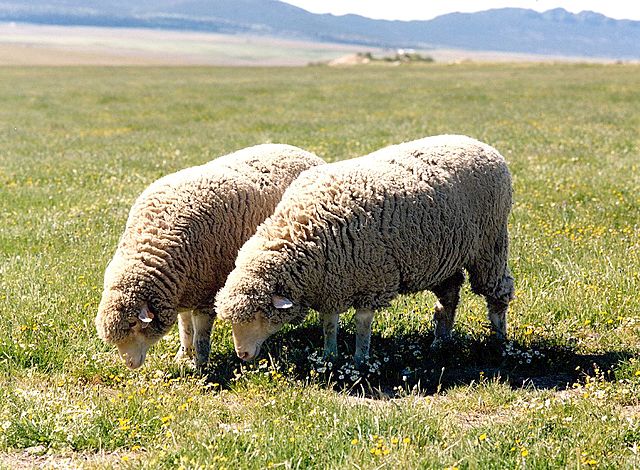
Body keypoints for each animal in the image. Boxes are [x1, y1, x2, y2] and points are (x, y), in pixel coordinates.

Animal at [95, 144, 325, 370]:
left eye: (135, 324)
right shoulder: (185, 292)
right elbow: (185, 327)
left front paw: (200, 365)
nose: (130, 365)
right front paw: (183, 355)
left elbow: (201, 335)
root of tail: (302, 151)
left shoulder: (207, 293)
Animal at [215, 135, 515, 366]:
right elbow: (329, 324)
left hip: (490, 244)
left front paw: (360, 358)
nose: (242, 355)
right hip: (444, 256)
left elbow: (362, 324)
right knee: (450, 297)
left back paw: (499, 342)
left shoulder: (371, 279)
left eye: (259, 316)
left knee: (497, 294)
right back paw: (439, 342)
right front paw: (329, 356)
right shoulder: (331, 283)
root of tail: (481, 144)